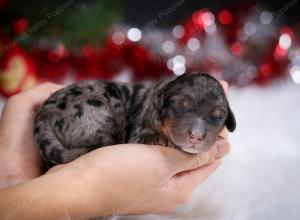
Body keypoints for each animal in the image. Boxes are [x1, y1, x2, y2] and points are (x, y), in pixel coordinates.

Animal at [34, 73, 237, 166]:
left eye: (218, 115)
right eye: (179, 104)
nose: (196, 135)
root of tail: (44, 112)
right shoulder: (138, 132)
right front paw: (159, 139)